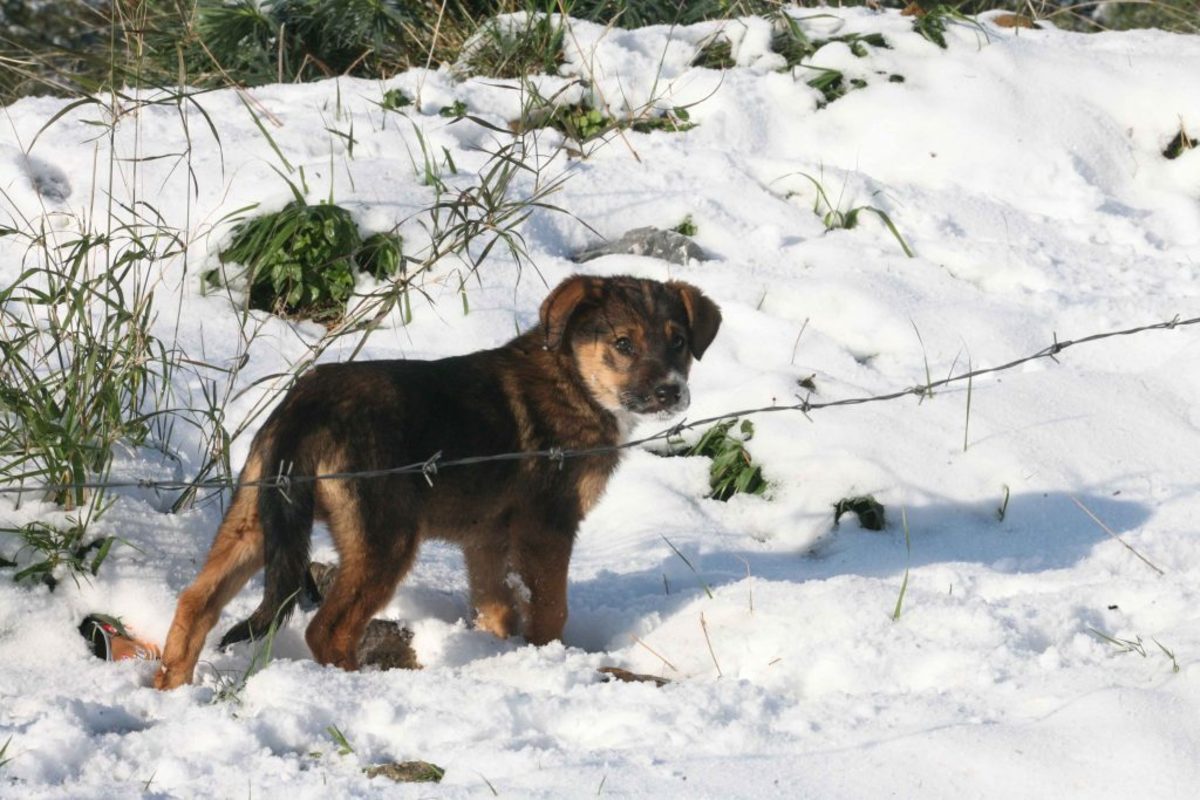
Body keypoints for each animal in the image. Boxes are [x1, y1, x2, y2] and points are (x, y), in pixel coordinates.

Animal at [158, 273, 720, 690]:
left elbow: (498, 607)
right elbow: (549, 609)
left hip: (257, 517)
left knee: (195, 604)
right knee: (327, 630)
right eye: (623, 344)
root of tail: (307, 406)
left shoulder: (486, 539)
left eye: (679, 343)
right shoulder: (548, 526)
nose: (671, 393)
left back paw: (170, 689)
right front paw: (548, 657)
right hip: (385, 538)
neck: (574, 379)